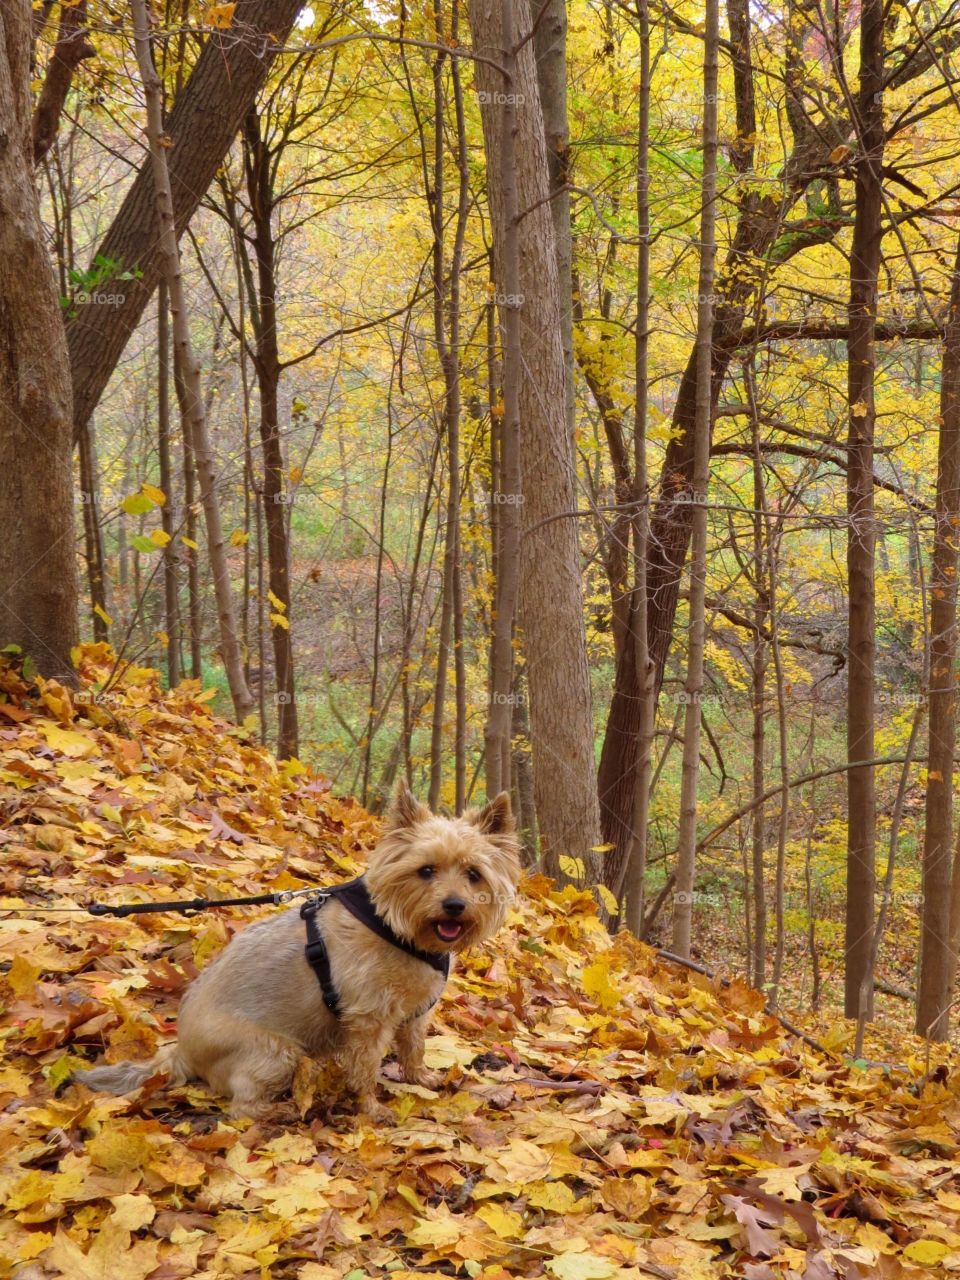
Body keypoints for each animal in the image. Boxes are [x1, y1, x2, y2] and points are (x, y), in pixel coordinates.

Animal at [76, 778, 522, 1121]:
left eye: (474, 874)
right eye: (425, 870)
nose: (454, 905)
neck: (399, 927)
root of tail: (182, 1050)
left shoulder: (414, 1015)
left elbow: (414, 1049)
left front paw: (421, 1079)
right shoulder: (367, 1021)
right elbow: (365, 1069)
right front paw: (370, 1108)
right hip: (276, 1052)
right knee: (242, 1108)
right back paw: (281, 1111)